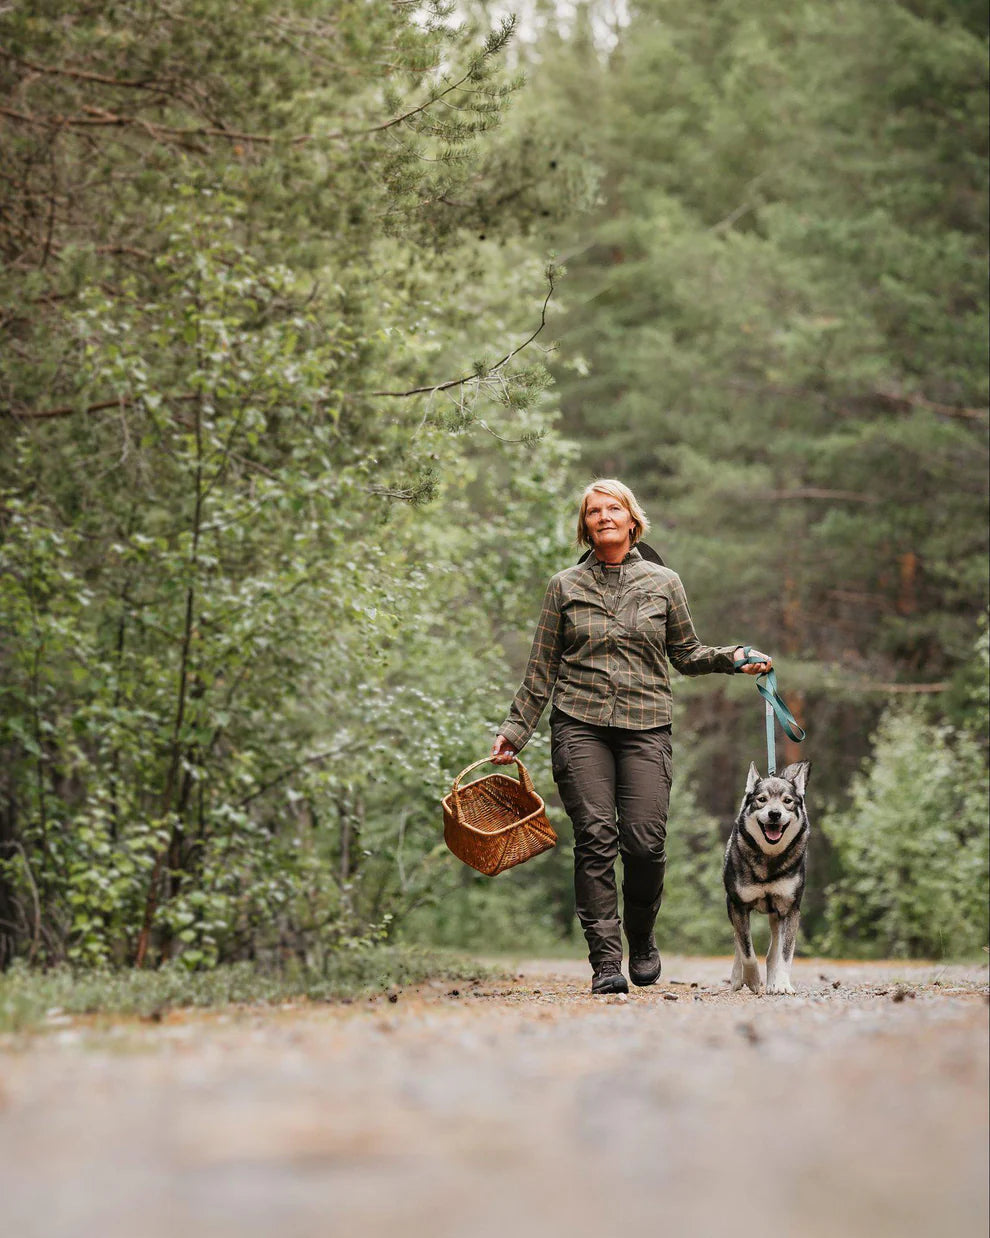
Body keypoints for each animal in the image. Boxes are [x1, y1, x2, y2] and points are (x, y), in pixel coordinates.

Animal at [722, 760, 812, 995]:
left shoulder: (790, 909)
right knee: (738, 942)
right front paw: (752, 979)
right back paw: (738, 977)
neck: (769, 859)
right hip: (732, 907)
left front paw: (781, 984)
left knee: (773, 951)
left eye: (787, 801)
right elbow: (747, 950)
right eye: (761, 799)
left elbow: (784, 954)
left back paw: (773, 983)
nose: (774, 814)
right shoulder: (739, 905)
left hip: (776, 915)